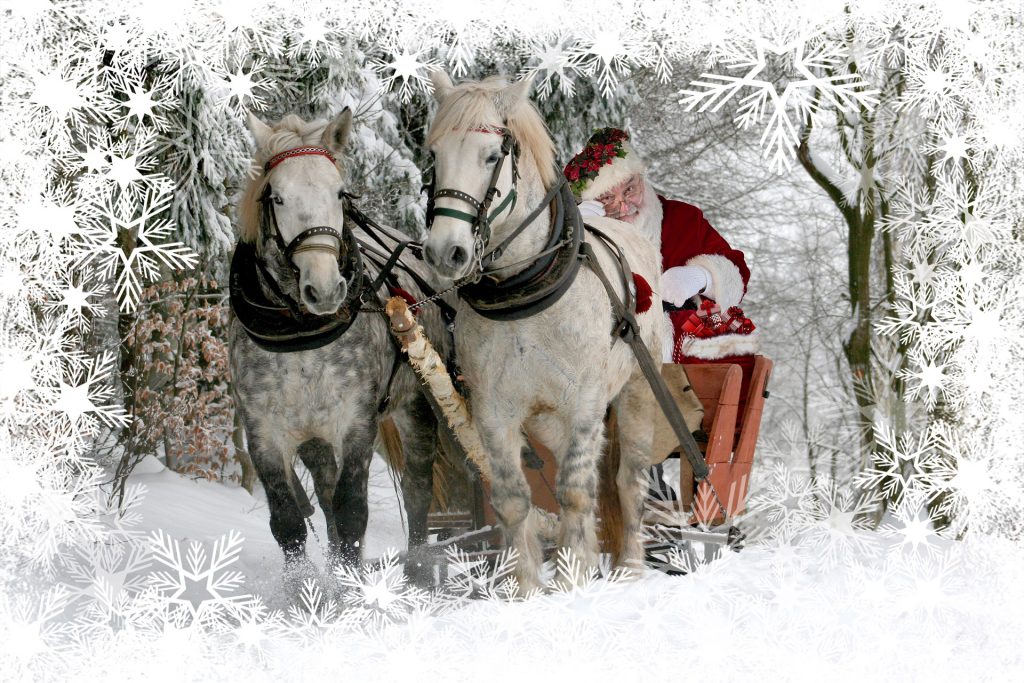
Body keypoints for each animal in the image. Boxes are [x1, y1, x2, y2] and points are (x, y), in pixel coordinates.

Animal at [423, 72, 663, 589]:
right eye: (434, 155)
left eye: (492, 156)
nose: (445, 252)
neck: (524, 296)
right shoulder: (494, 411)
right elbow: (514, 500)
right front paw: (527, 589)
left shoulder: (585, 404)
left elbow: (574, 493)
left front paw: (574, 581)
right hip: (546, 421)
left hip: (637, 393)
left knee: (628, 482)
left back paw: (631, 568)